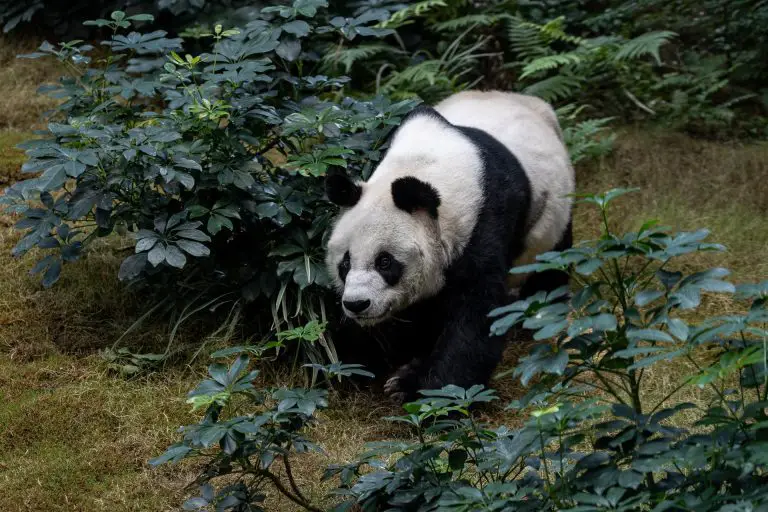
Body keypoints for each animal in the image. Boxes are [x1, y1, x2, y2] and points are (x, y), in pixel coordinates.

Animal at [320, 91, 572, 404]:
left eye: (385, 262)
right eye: (345, 263)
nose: (357, 304)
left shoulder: (486, 221)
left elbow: (476, 311)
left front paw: (428, 390)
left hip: (555, 210)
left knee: (551, 261)